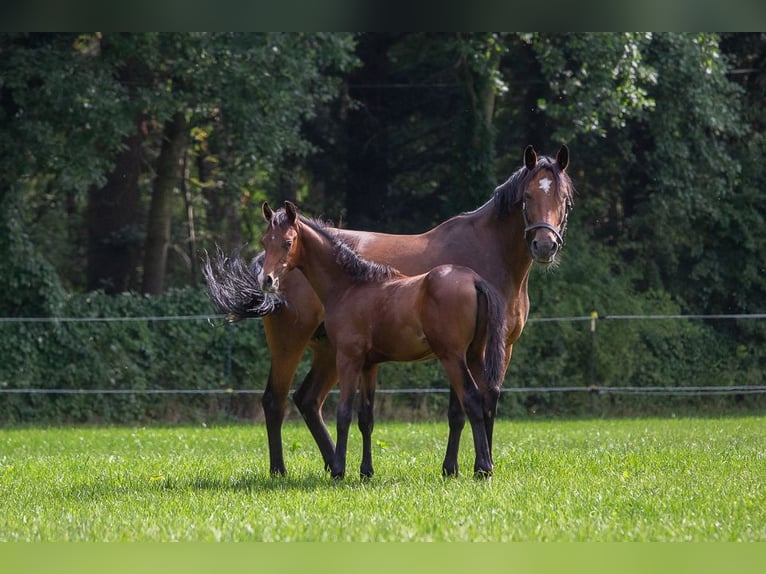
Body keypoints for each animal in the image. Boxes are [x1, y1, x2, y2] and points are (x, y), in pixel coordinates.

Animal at [260, 200, 508, 480]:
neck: (350, 286)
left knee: (473, 399)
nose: (267, 280)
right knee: (486, 399)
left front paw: (339, 470)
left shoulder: (348, 359)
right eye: (264, 242)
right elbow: (366, 418)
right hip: (474, 355)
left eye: (288, 242)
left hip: (453, 357)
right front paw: (366, 471)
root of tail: (475, 280)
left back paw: (483, 467)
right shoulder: (370, 365)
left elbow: (344, 414)